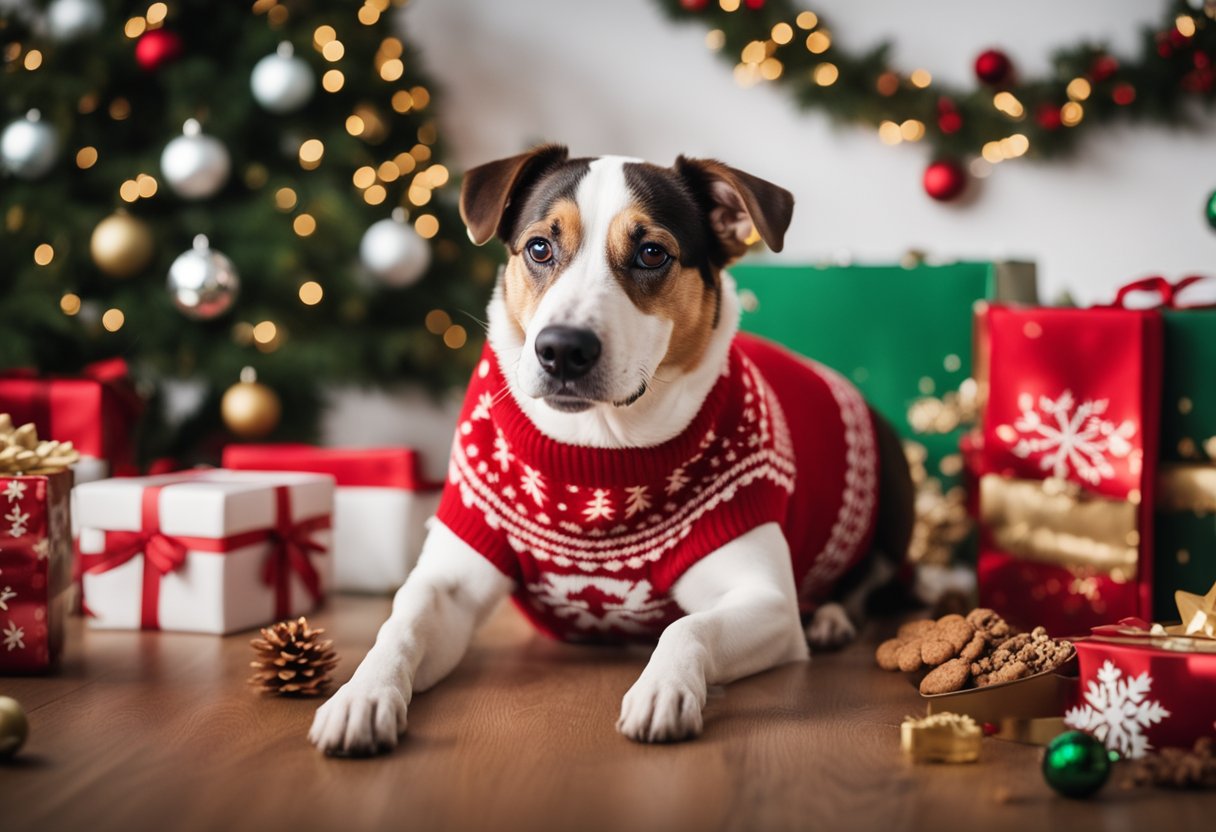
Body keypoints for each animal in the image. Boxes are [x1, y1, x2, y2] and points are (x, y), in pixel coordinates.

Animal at [308, 147, 909, 754]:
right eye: (539, 247)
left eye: (652, 253)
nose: (561, 349)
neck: (598, 446)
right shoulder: (449, 584)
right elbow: (399, 626)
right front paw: (362, 694)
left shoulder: (767, 600)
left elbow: (686, 625)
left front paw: (663, 688)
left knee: (872, 580)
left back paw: (832, 618)